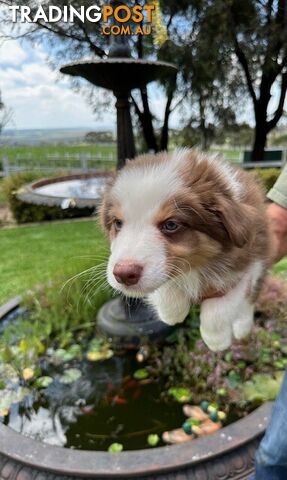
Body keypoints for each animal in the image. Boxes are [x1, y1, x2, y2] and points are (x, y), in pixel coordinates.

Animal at [99, 148, 270, 350]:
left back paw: (242, 328)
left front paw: (216, 340)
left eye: (171, 225)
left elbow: (222, 305)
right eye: (118, 223)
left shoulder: (251, 263)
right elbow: (166, 285)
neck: (198, 266)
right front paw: (172, 313)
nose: (123, 274)